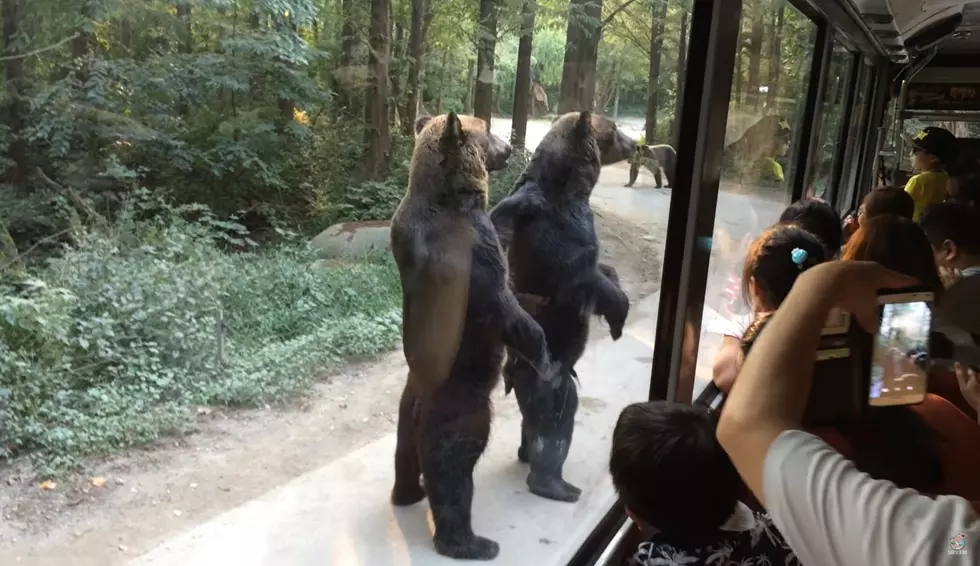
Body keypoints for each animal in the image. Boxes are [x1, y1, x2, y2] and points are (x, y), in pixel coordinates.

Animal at [390, 113, 560, 560]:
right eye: (486, 131)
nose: (510, 148)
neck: (452, 197)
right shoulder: (471, 255)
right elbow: (506, 307)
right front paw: (546, 357)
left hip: (407, 406)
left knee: (404, 452)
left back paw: (407, 493)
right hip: (464, 407)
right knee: (453, 471)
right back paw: (472, 542)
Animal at [490, 113, 636, 504]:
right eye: (613, 128)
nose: (636, 143)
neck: (571, 188)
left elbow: (607, 271)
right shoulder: (560, 231)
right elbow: (585, 276)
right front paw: (619, 316)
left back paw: (527, 454)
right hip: (546, 374)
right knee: (553, 422)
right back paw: (555, 483)